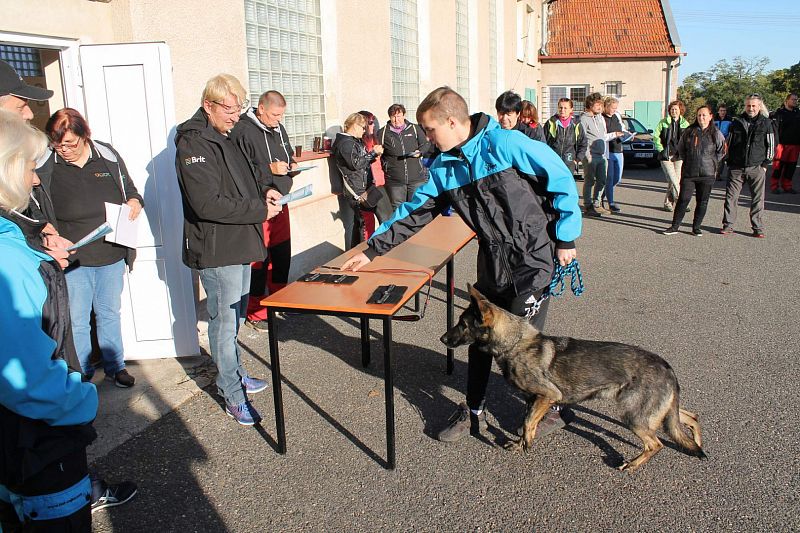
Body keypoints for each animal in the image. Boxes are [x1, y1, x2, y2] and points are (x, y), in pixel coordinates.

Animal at [440, 284, 708, 472]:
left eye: (462, 324)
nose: (442, 339)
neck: (514, 342)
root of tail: (666, 366)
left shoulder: (548, 395)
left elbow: (527, 423)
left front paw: (525, 445)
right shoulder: (534, 399)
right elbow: (528, 422)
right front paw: (521, 443)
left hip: (635, 416)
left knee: (656, 444)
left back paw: (632, 464)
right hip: (661, 412)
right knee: (690, 417)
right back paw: (697, 443)